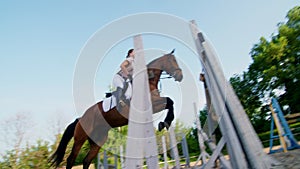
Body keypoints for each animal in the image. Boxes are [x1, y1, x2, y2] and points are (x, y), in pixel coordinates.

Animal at [49, 50, 183, 168]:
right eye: (173, 61)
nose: (180, 76)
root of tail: (81, 118)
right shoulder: (152, 105)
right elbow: (170, 101)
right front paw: (165, 122)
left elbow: (170, 102)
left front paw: (164, 123)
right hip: (80, 138)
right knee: (71, 159)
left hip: (98, 140)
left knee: (87, 160)